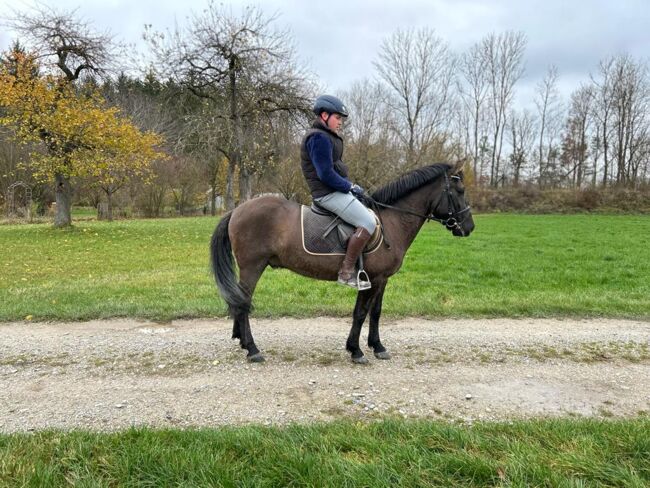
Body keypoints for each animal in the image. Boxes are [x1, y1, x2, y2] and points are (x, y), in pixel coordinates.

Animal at [210, 162, 474, 364]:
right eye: (460, 191)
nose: (469, 227)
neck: (392, 220)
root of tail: (237, 210)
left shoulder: (381, 280)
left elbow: (375, 312)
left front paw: (377, 346)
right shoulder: (372, 279)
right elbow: (360, 313)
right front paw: (355, 350)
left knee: (240, 303)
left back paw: (242, 341)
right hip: (252, 267)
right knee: (243, 304)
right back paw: (253, 349)